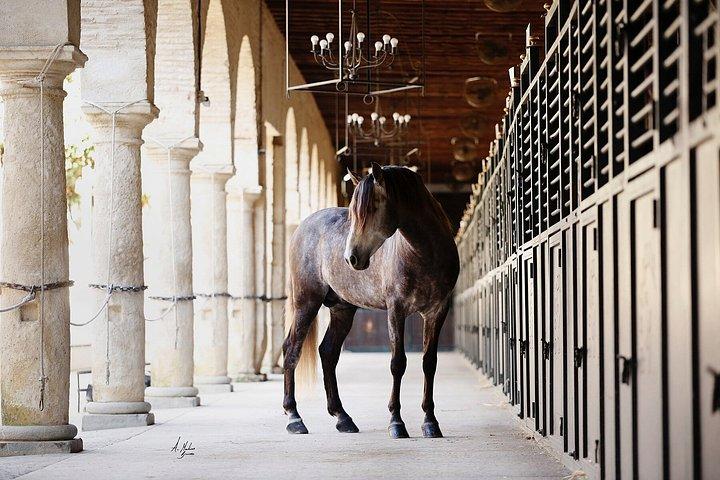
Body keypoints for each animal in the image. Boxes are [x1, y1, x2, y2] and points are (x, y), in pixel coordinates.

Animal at [282, 162, 460, 438]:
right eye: (354, 212)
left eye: (373, 206)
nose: (351, 258)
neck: (423, 253)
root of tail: (302, 227)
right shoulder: (396, 310)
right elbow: (398, 363)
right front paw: (396, 423)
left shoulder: (437, 311)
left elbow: (429, 363)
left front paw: (431, 423)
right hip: (306, 302)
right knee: (292, 348)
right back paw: (294, 418)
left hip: (342, 309)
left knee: (328, 353)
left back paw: (343, 418)